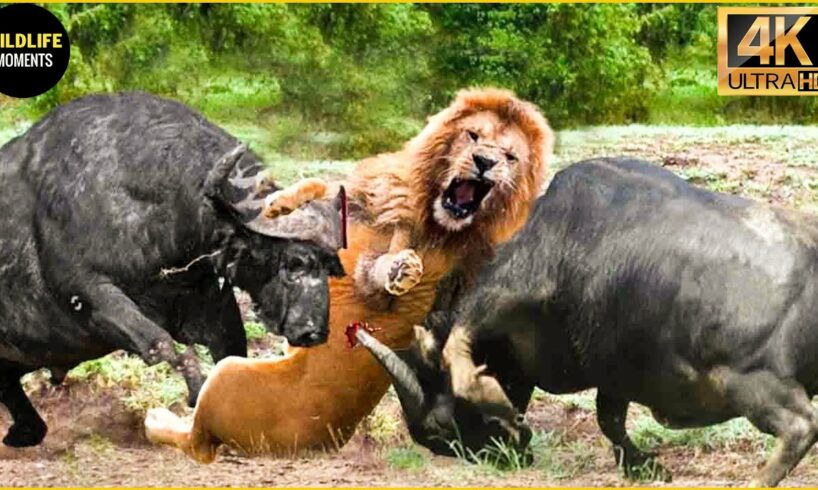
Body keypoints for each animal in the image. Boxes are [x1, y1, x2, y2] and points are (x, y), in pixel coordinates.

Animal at [0, 93, 345, 447]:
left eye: (329, 265)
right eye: (294, 262)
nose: (313, 332)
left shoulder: (209, 302)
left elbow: (232, 352)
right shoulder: (91, 296)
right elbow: (165, 346)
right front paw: (196, 397)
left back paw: (25, 430)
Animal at [144, 88, 554, 461]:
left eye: (510, 156)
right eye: (474, 136)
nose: (485, 161)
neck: (436, 218)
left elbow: (379, 272)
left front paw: (401, 269)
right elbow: (323, 188)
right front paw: (279, 202)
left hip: (227, 376)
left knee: (195, 441)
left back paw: (157, 418)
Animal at [359, 157, 818, 487]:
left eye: (441, 427)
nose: (506, 457)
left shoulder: (503, 296)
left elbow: (459, 349)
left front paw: (495, 398)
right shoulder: (613, 371)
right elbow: (608, 419)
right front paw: (642, 466)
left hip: (748, 381)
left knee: (800, 427)